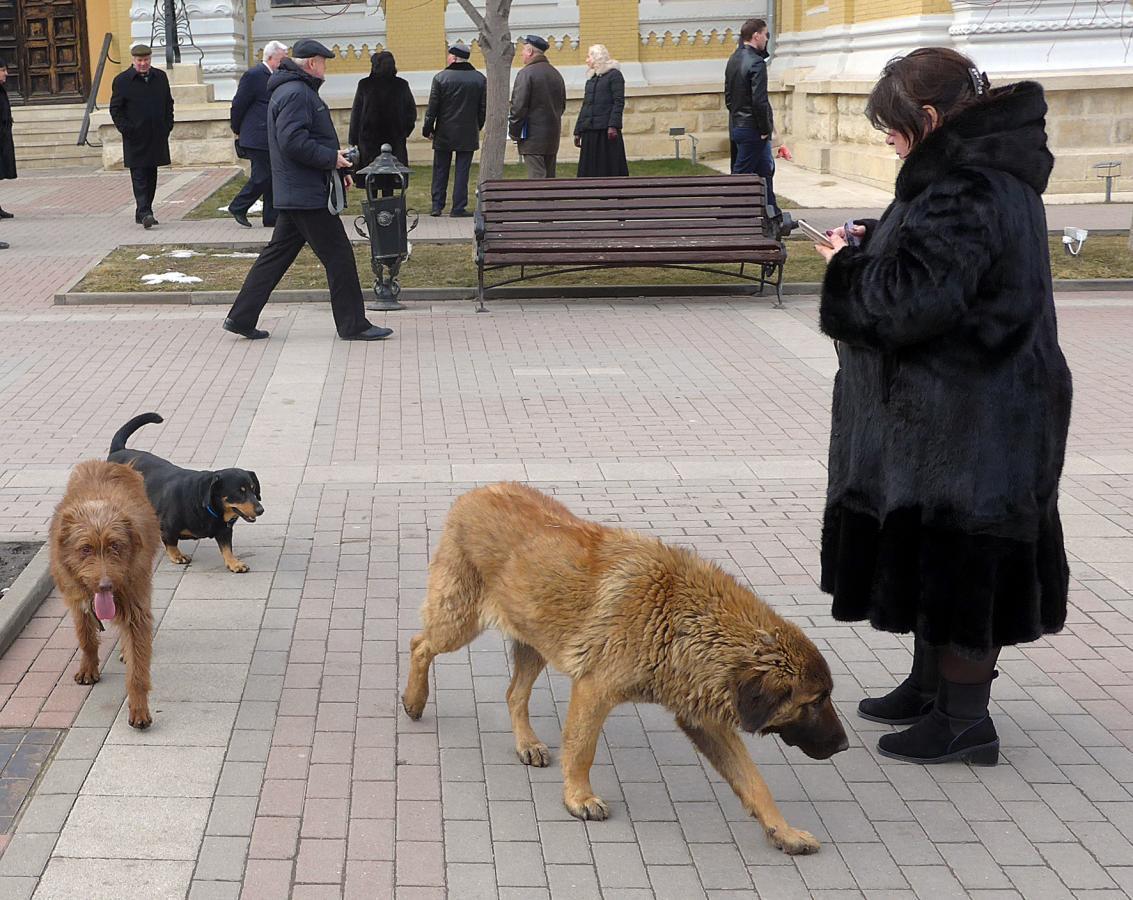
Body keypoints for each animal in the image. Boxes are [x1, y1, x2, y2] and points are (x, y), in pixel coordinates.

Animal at [49, 460, 160, 725]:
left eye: (115, 546)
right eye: (85, 549)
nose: (106, 585)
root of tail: (109, 462)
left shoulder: (137, 607)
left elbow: (138, 668)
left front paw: (139, 708)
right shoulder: (77, 602)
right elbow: (86, 637)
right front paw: (88, 668)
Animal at [107, 412, 262, 571]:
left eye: (253, 489)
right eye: (239, 492)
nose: (260, 510)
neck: (203, 503)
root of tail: (118, 451)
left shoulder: (224, 530)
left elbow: (227, 549)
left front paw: (234, 563)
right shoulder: (167, 528)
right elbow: (171, 542)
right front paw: (177, 555)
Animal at [403, 480, 847, 852]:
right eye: (814, 701)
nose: (844, 746)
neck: (684, 618)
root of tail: (478, 490)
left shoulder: (704, 719)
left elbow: (754, 782)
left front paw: (783, 830)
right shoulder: (594, 690)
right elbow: (582, 750)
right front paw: (578, 797)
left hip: (534, 637)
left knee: (514, 693)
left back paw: (526, 742)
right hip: (459, 622)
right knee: (419, 644)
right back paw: (414, 699)